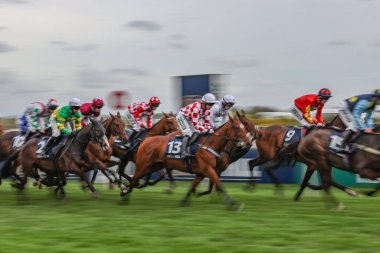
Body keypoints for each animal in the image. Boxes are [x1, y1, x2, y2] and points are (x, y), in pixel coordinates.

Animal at [121, 115, 252, 211]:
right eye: (237, 127)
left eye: (245, 127)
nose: (248, 141)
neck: (209, 144)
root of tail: (145, 140)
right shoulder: (209, 169)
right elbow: (220, 186)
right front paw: (233, 204)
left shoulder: (201, 173)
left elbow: (192, 186)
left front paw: (184, 201)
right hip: (142, 165)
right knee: (134, 179)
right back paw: (124, 193)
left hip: (154, 166)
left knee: (136, 180)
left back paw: (126, 191)